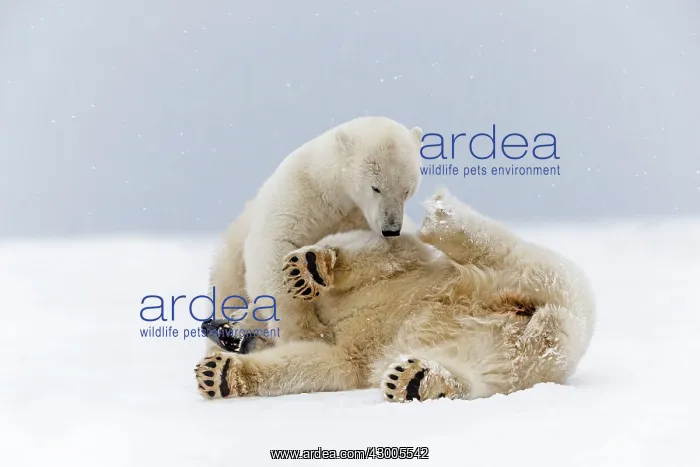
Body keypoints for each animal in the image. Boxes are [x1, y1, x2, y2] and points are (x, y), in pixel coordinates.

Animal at [195, 189, 596, 403]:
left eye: (241, 306)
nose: (209, 325)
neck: (328, 316)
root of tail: (548, 327)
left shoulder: (403, 267)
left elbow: (385, 251)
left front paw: (310, 266)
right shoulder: (349, 352)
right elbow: (320, 364)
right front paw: (218, 375)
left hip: (547, 279)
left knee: (507, 253)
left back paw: (443, 217)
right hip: (505, 362)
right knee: (474, 376)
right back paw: (414, 379)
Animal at [205, 116, 423, 354]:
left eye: (407, 189)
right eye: (376, 188)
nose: (391, 228)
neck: (336, 195)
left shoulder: (361, 220)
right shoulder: (300, 195)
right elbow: (276, 247)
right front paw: (306, 332)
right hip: (230, 267)